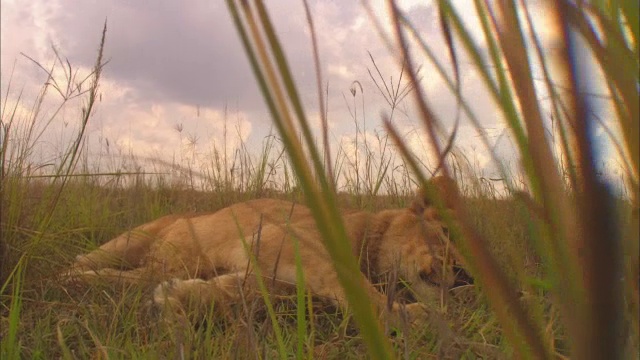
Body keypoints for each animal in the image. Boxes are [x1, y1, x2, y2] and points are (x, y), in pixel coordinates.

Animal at [65, 177, 462, 326]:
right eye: (445, 232)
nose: (461, 276)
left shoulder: (269, 279)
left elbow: (229, 293)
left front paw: (177, 299)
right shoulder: (281, 238)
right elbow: (357, 287)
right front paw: (412, 315)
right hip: (138, 246)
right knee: (81, 271)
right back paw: (80, 280)